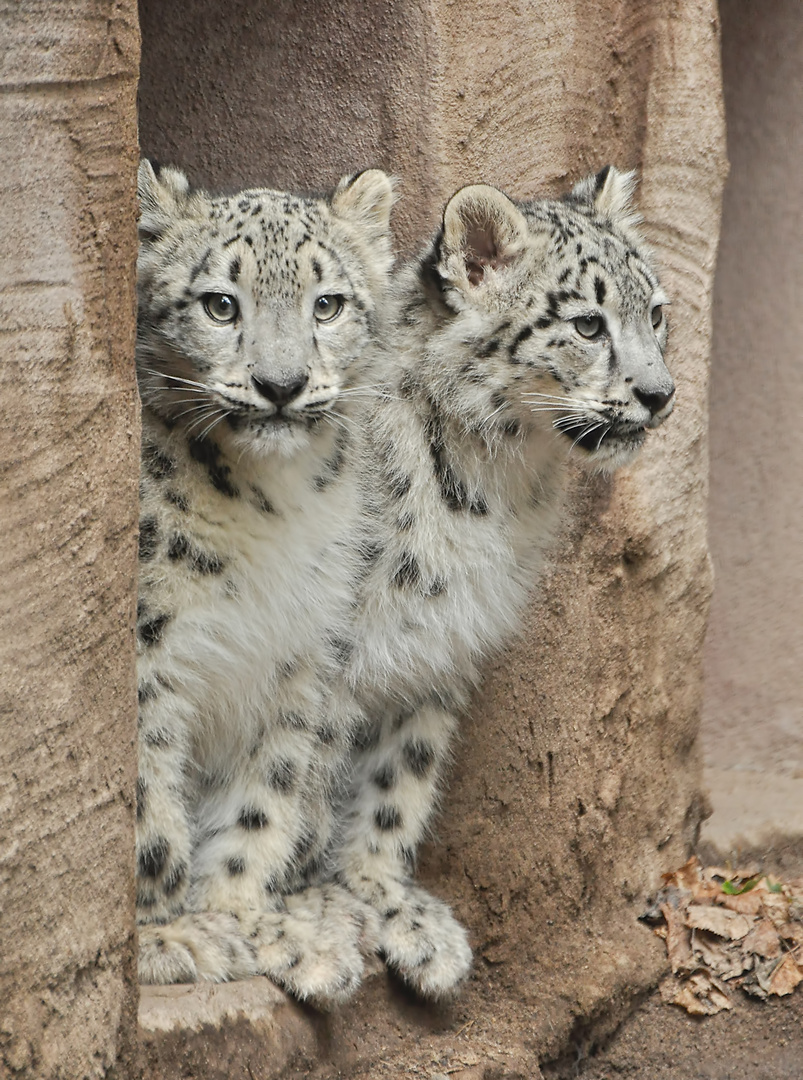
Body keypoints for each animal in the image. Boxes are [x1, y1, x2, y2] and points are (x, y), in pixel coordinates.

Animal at [136, 159, 397, 1002]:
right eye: (221, 303)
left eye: (328, 303)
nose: (280, 385)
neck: (269, 509)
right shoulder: (150, 654)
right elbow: (150, 807)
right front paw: (168, 938)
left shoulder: (295, 659)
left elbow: (261, 804)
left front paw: (249, 922)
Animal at [330, 164, 673, 997]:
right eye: (586, 325)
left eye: (654, 313)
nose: (660, 395)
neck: (491, 488)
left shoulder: (433, 645)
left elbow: (397, 783)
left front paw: (394, 906)